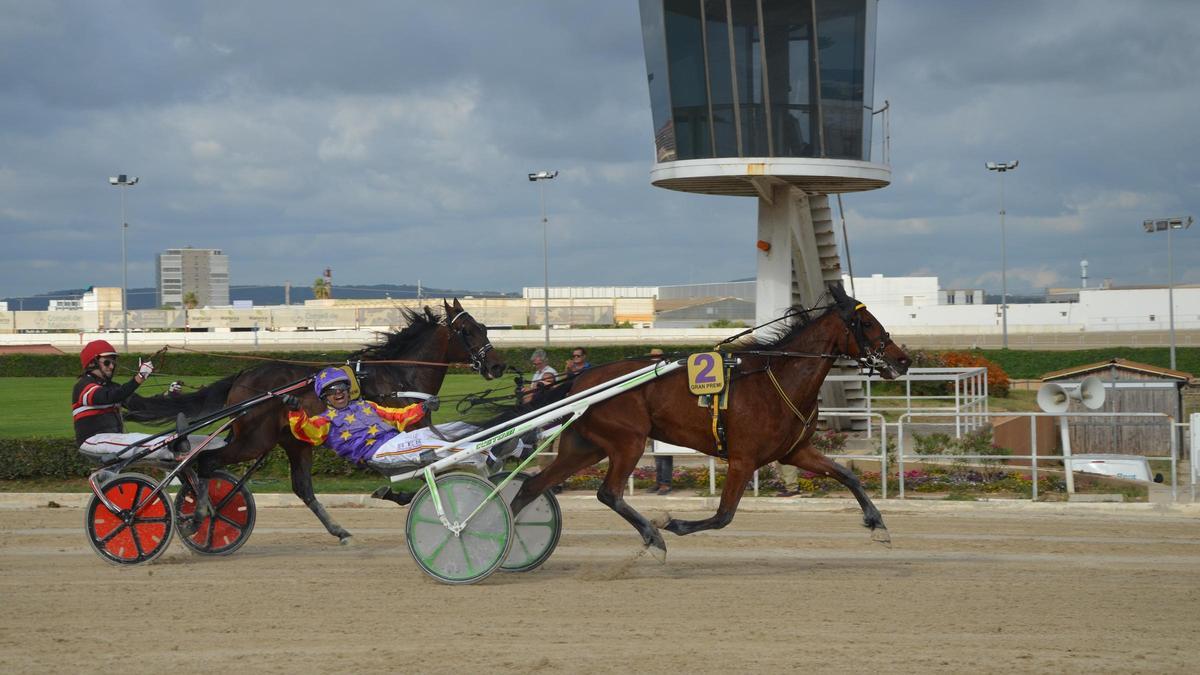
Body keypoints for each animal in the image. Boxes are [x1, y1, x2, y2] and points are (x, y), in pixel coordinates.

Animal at [129, 296, 504, 542]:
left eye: (485, 326)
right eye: (468, 330)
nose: (498, 365)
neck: (400, 376)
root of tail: (243, 376)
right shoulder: (407, 433)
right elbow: (428, 469)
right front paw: (400, 494)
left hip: (293, 442)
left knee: (301, 488)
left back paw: (338, 530)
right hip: (254, 440)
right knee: (205, 461)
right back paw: (198, 516)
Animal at [506, 281, 907, 554]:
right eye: (866, 322)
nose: (903, 359)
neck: (776, 379)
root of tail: (580, 380)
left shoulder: (794, 452)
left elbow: (848, 475)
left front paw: (878, 524)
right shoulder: (743, 459)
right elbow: (723, 515)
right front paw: (673, 523)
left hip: (586, 447)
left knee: (532, 486)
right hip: (628, 441)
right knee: (608, 492)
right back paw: (652, 537)